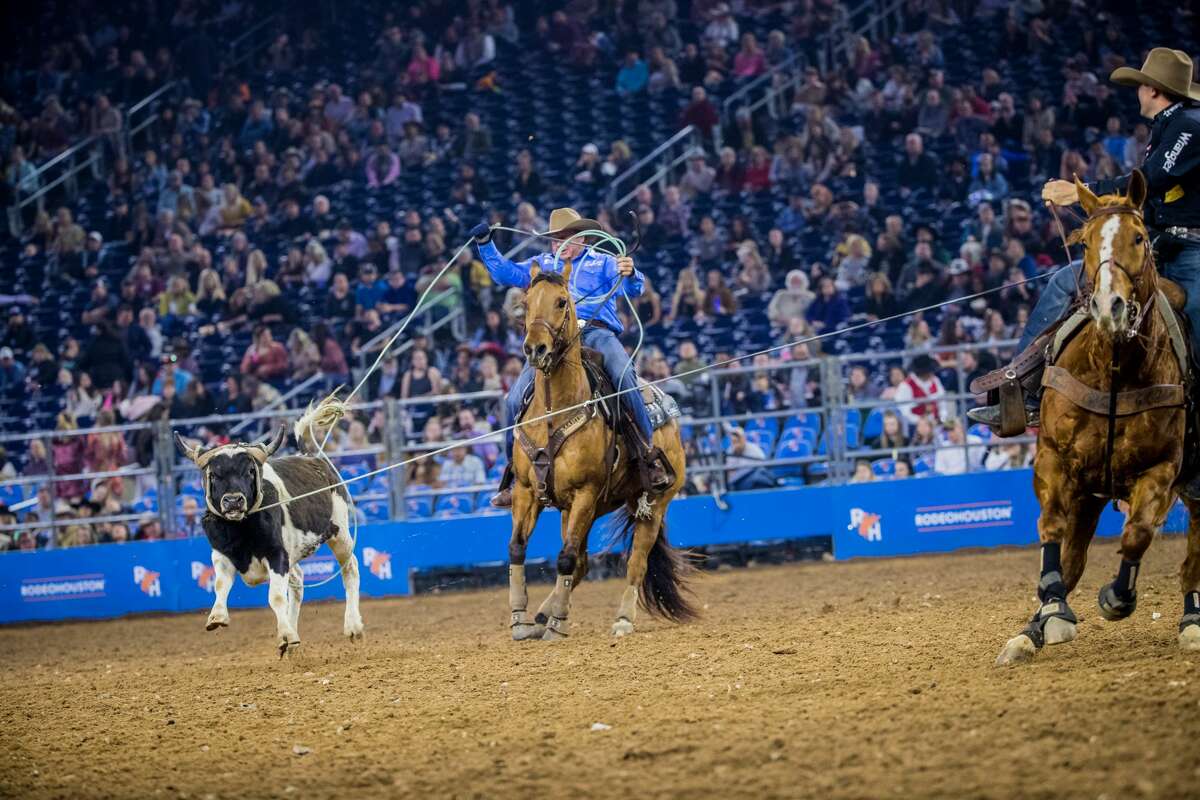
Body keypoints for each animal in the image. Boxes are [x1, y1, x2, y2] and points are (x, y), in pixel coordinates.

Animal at [174, 429, 360, 652]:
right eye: (214, 475)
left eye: (249, 471)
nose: (233, 501)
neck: (241, 530)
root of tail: (313, 458)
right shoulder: (221, 554)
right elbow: (220, 584)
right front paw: (216, 616)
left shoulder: (276, 554)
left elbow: (276, 596)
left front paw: (286, 635)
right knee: (298, 580)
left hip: (339, 532)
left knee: (350, 568)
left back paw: (352, 626)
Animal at [506, 266, 696, 642]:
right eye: (526, 303)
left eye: (561, 301)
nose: (535, 348)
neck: (554, 413)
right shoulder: (526, 490)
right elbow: (518, 548)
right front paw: (520, 618)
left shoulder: (586, 491)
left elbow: (565, 559)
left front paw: (559, 625)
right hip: (582, 509)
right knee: (580, 563)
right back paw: (543, 614)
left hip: (652, 504)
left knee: (635, 562)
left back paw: (621, 619)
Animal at [998, 172, 1200, 666]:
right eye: (1086, 242)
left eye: (1140, 238)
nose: (1110, 306)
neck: (1114, 369)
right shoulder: (1055, 460)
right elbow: (1053, 531)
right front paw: (1051, 610)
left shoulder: (1162, 470)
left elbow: (1137, 535)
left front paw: (1117, 597)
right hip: (1090, 491)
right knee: (1073, 558)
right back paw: (1030, 631)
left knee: (1193, 556)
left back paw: (1192, 621)